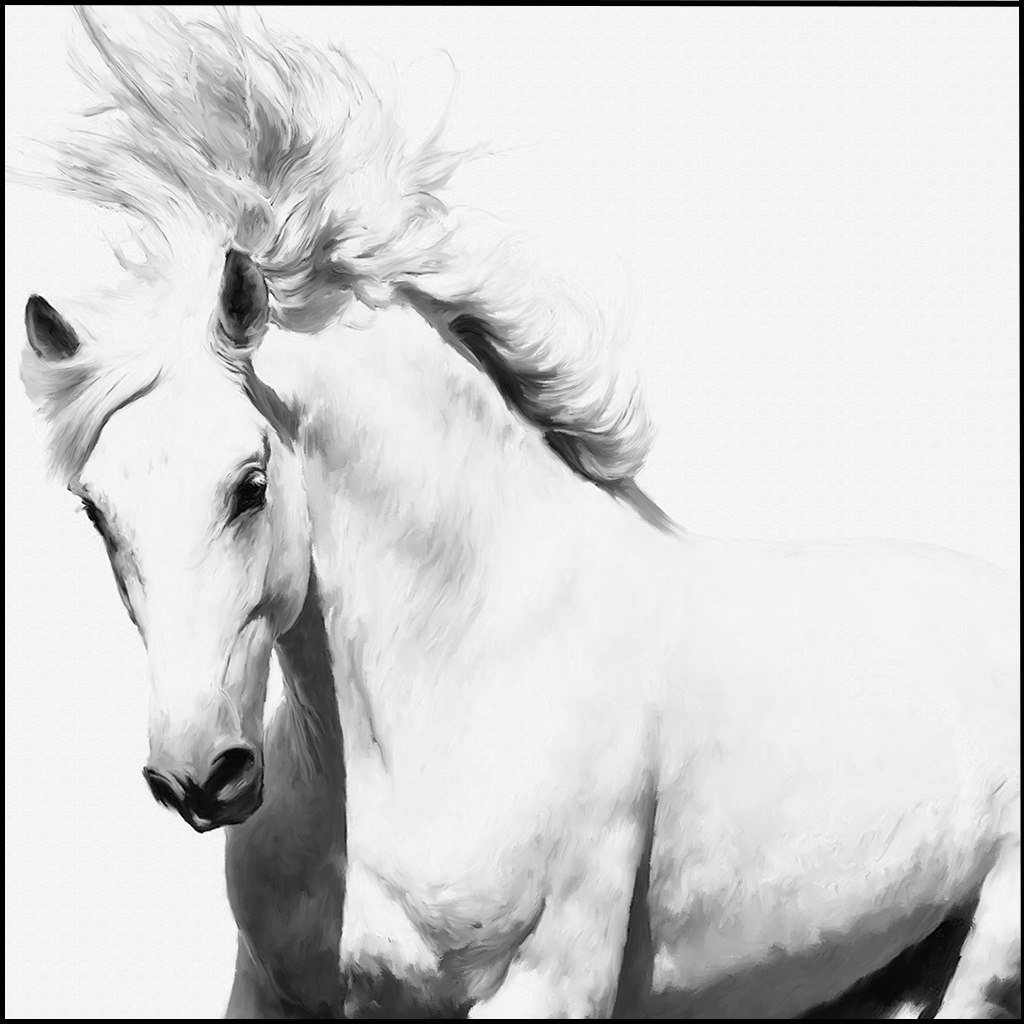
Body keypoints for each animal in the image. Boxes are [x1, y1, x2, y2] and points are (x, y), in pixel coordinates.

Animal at [17, 7, 1019, 1020]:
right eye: (96, 511)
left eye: (249, 483)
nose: (197, 773)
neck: (464, 667)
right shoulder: (272, 990)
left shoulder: (543, 984)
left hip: (990, 960)